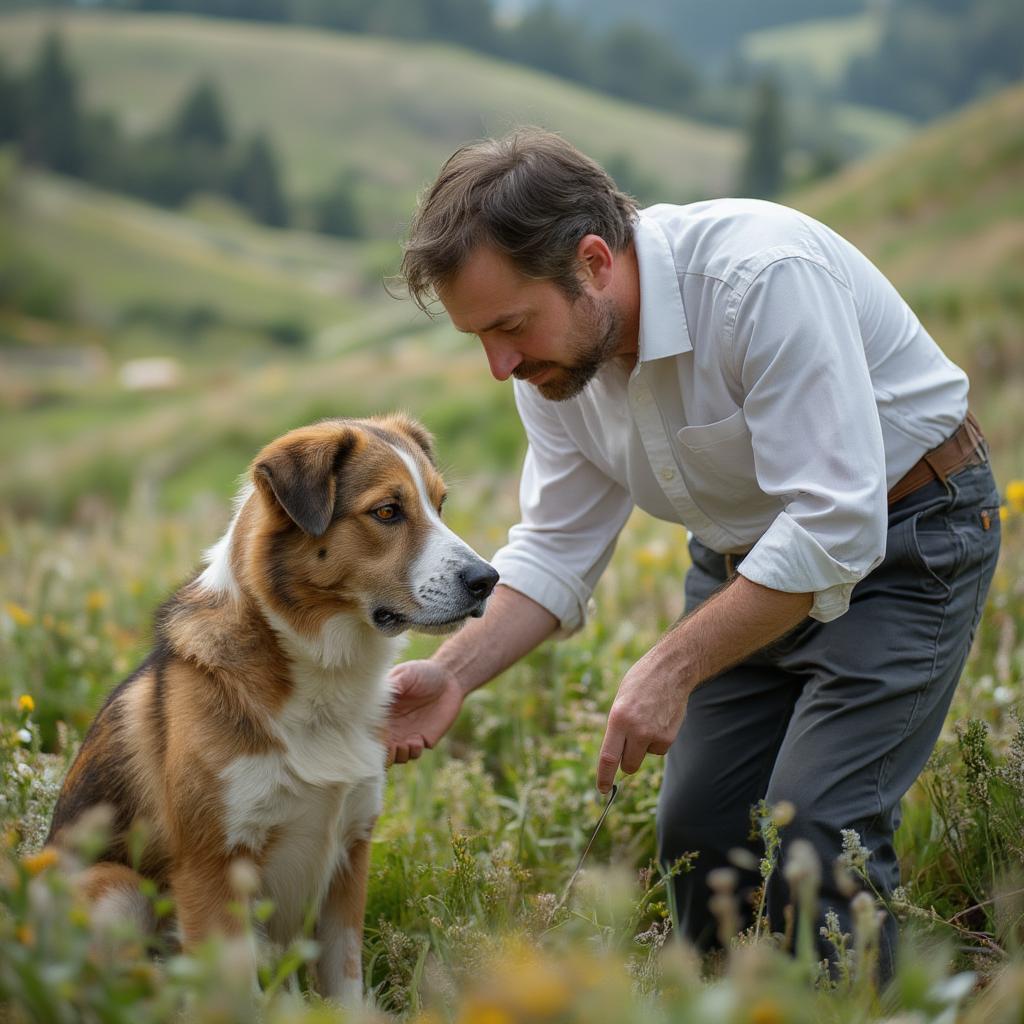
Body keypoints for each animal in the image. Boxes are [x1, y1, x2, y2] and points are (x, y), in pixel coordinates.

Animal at [44, 411, 499, 1003]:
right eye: (387, 511)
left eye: (440, 505)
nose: (488, 580)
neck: (322, 679)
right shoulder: (214, 873)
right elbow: (237, 999)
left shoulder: (348, 858)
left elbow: (345, 989)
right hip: (115, 888)